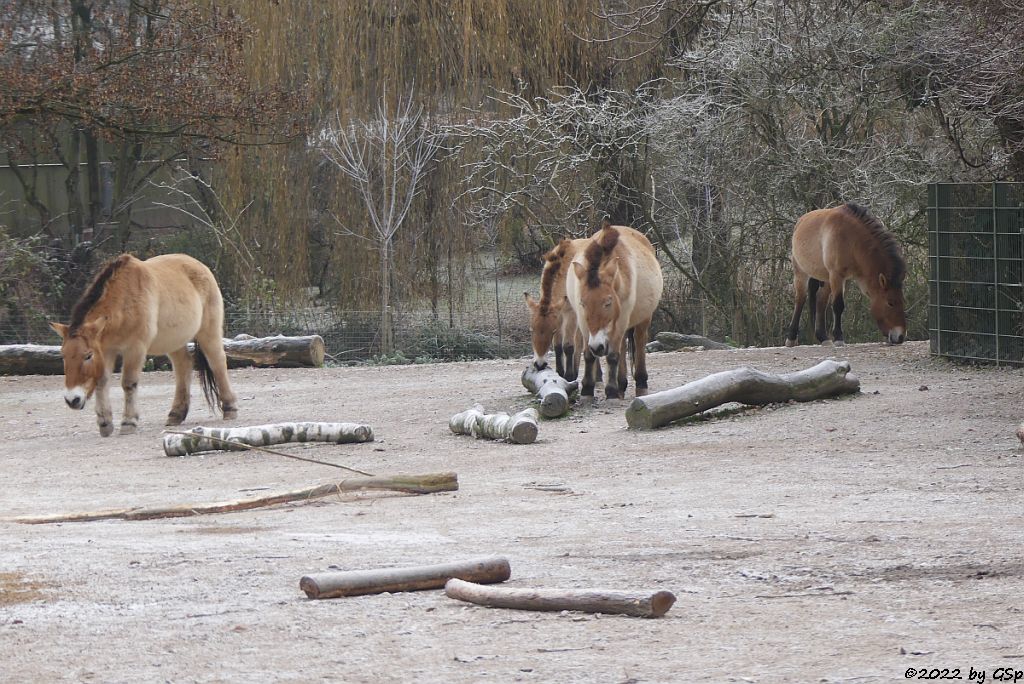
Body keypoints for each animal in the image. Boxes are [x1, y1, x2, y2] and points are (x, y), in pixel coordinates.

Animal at [50, 252, 238, 438]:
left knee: (217, 362)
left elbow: (128, 383)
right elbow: (101, 381)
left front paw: (128, 422)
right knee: (183, 365)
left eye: (88, 356)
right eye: (63, 355)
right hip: (173, 341)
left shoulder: (135, 349)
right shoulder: (107, 350)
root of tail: (201, 266)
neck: (124, 301)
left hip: (208, 332)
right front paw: (105, 423)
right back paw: (176, 414)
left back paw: (230, 409)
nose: (72, 400)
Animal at [569, 222, 663, 397]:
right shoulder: (584, 323)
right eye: (583, 303)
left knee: (639, 342)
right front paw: (587, 389)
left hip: (642, 318)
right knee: (623, 346)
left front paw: (611, 392)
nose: (597, 346)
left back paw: (640, 383)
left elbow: (612, 356)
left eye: (608, 302)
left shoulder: (621, 320)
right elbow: (589, 355)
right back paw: (621, 384)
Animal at [786, 200, 909, 344]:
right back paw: (791, 338)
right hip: (801, 272)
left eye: (903, 301)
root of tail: (801, 221)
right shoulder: (837, 275)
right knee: (800, 299)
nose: (900, 337)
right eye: (890, 303)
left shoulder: (838, 277)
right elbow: (838, 305)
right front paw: (839, 337)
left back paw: (823, 337)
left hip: (826, 278)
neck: (851, 240)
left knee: (820, 301)